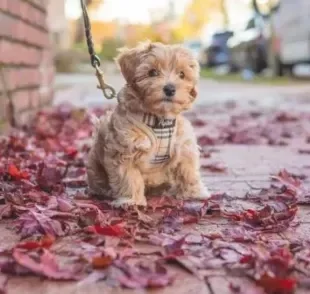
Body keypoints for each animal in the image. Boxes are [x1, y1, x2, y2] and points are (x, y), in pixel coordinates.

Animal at [86, 41, 209, 207]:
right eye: (152, 72)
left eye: (182, 75)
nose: (170, 88)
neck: (159, 119)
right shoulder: (125, 149)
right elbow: (129, 177)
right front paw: (132, 201)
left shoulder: (183, 145)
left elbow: (188, 170)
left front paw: (194, 192)